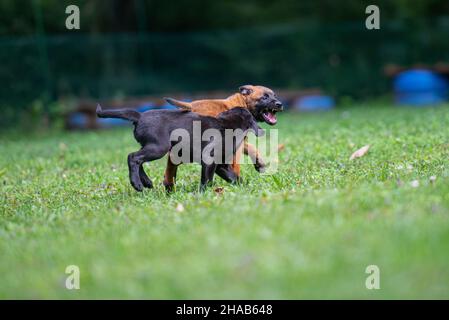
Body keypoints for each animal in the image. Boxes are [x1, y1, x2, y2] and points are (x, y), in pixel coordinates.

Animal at [96, 105, 260, 191]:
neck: (229, 125)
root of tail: (140, 116)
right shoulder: (209, 161)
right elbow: (206, 180)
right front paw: (202, 194)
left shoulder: (220, 165)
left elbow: (233, 177)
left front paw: (244, 188)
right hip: (159, 147)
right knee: (133, 157)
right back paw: (137, 184)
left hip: (151, 146)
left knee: (137, 159)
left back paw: (147, 182)